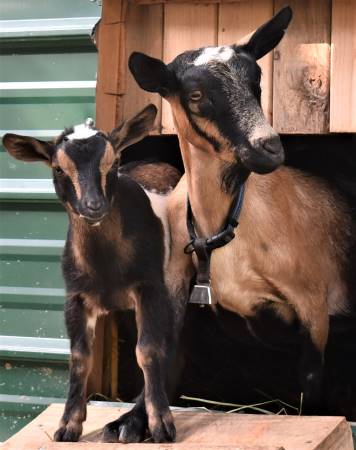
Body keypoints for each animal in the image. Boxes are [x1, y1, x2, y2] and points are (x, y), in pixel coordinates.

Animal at [3, 105, 178, 442]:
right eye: (58, 168)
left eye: (114, 162)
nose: (93, 205)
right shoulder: (76, 297)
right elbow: (79, 357)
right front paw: (68, 424)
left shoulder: (150, 287)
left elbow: (148, 350)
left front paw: (160, 423)